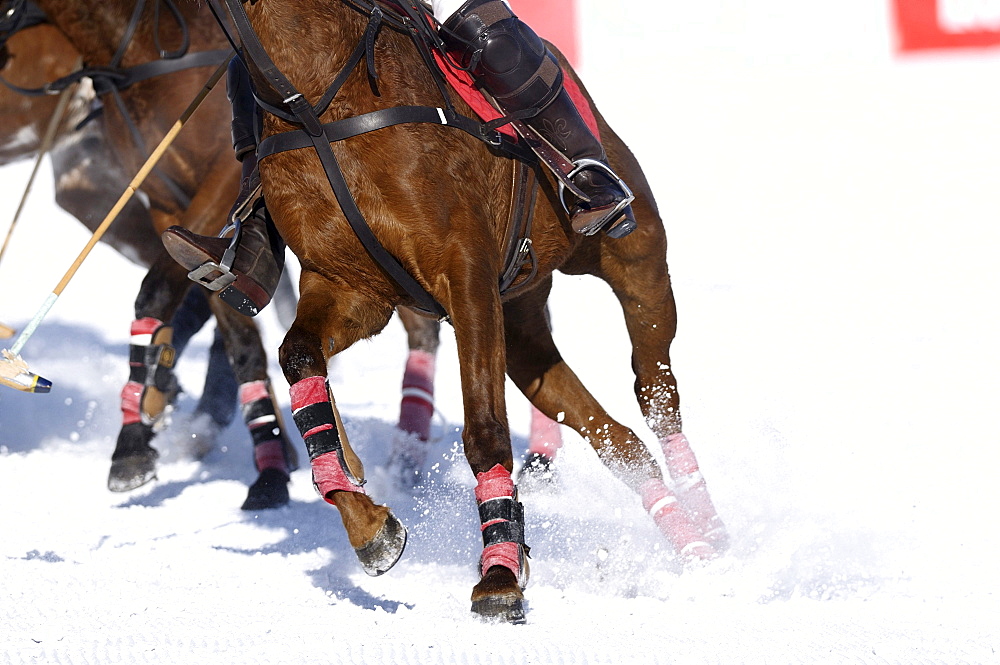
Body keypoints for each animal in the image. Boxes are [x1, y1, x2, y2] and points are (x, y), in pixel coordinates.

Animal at [219, 0, 732, 624]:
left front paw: (499, 575)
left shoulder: (465, 274)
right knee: (617, 438)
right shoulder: (349, 287)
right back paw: (690, 539)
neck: (312, 102)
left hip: (636, 261)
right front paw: (370, 526)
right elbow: (298, 360)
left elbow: (485, 430)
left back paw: (709, 522)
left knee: (656, 390)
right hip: (522, 327)